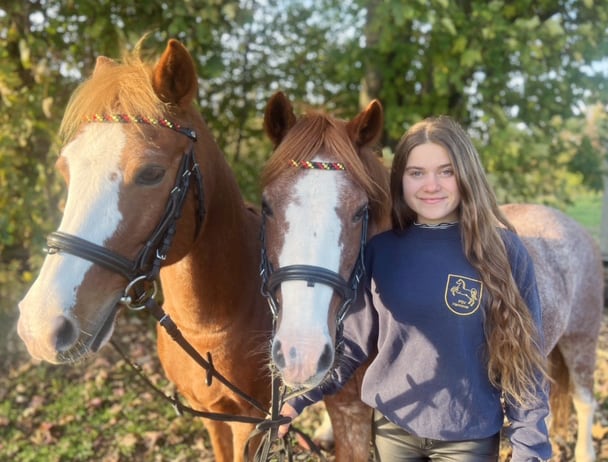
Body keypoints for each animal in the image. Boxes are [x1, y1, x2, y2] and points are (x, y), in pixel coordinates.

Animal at [260, 91, 604, 462]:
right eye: (266, 206)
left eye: (360, 212)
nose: (300, 352)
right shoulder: (346, 410)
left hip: (581, 341)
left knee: (585, 402)